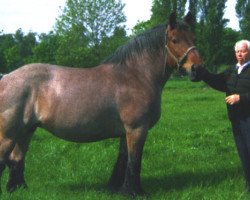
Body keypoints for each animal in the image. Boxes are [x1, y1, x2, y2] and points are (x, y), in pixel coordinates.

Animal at [0, 12, 203, 195]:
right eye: (175, 40)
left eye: (193, 37)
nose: (197, 68)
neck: (135, 76)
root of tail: (6, 77)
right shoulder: (137, 128)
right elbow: (134, 161)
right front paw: (134, 192)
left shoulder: (126, 131)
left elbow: (123, 159)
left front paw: (115, 188)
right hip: (8, 134)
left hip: (26, 130)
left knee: (17, 159)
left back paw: (17, 189)